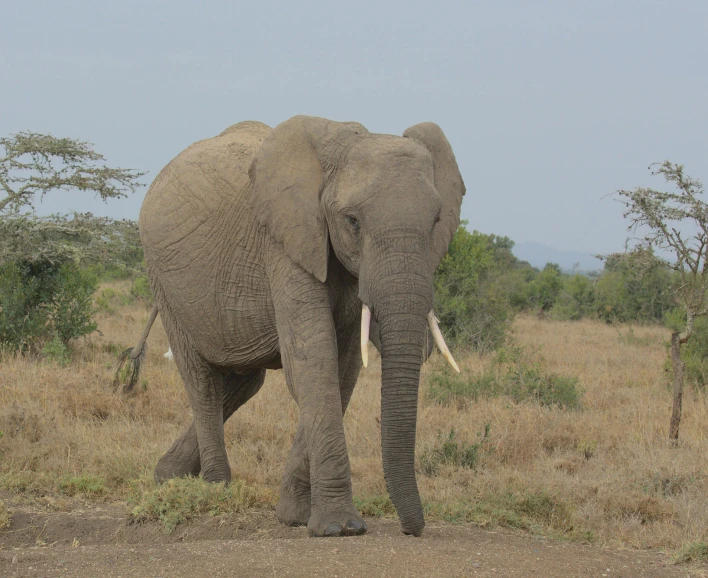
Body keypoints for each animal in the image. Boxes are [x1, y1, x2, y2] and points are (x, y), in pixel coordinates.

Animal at [117, 116, 464, 536]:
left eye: (436, 223)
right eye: (352, 221)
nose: (413, 529)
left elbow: (342, 370)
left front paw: (295, 516)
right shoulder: (285, 243)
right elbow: (314, 363)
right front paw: (339, 528)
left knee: (243, 382)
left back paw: (168, 475)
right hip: (163, 279)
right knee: (201, 379)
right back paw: (215, 488)